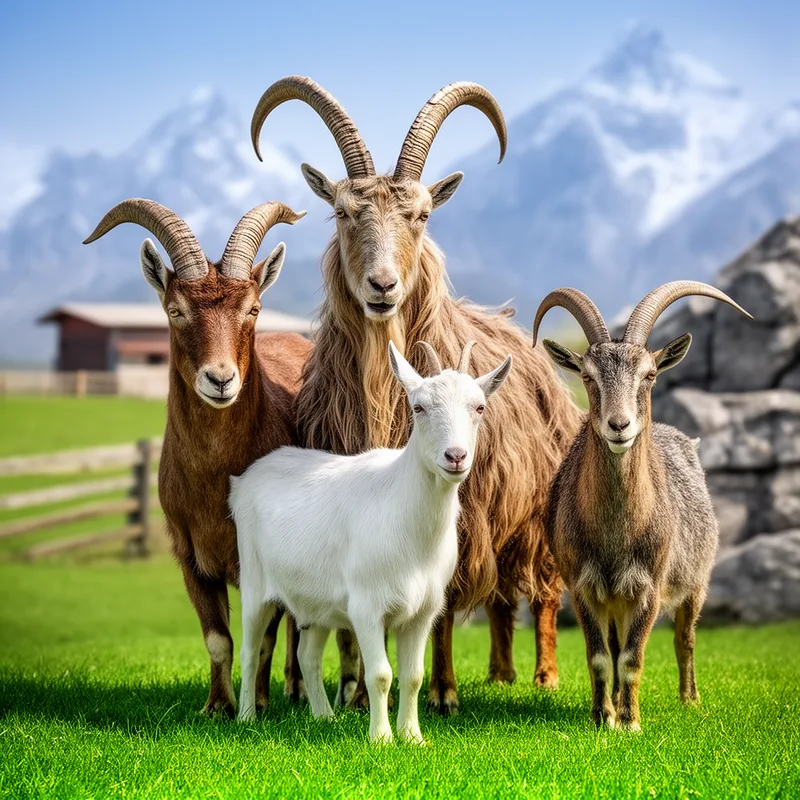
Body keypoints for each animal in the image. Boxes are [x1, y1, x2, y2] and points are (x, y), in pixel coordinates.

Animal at [83, 199, 312, 717]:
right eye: (175, 310)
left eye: (253, 308)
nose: (221, 379)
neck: (217, 482)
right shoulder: (188, 551)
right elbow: (218, 639)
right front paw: (217, 706)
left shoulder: (263, 557)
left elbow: (261, 639)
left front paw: (256, 704)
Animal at [231, 341, 512, 742]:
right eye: (418, 407)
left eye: (479, 407)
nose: (456, 456)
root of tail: (244, 480)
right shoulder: (366, 607)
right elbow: (380, 674)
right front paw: (381, 739)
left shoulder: (424, 612)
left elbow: (413, 676)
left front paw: (413, 737)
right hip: (254, 583)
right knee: (250, 651)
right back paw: (246, 717)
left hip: (316, 602)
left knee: (307, 655)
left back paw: (325, 718)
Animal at [250, 76, 581, 714]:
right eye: (343, 212)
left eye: (422, 214)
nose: (383, 285)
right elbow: (354, 620)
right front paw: (357, 694)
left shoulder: (465, 513)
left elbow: (442, 606)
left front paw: (444, 693)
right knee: (501, 601)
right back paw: (499, 672)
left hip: (535, 514)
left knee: (542, 591)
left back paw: (542, 676)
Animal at [534, 281, 752, 730]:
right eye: (587, 376)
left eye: (649, 375)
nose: (620, 426)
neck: (616, 538)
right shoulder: (583, 586)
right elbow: (601, 657)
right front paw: (604, 718)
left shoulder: (650, 586)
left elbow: (634, 658)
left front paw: (631, 722)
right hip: (616, 600)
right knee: (616, 646)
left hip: (696, 582)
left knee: (685, 637)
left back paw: (689, 699)